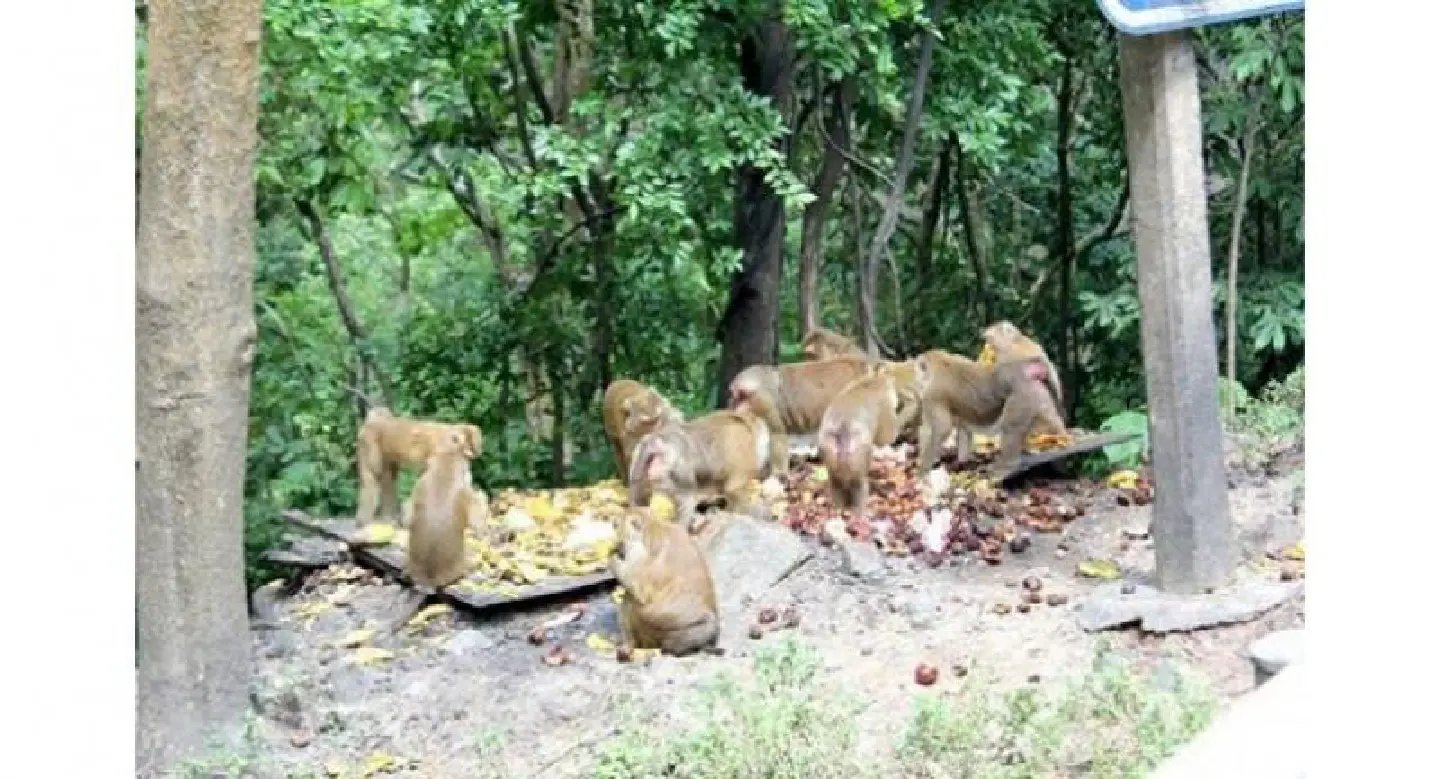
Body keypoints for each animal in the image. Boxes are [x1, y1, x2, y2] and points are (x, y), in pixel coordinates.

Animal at [610, 506, 720, 656]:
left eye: (617, 524)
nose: (613, 521)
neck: (653, 526)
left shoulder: (638, 551)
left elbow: (638, 586)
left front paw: (612, 556)